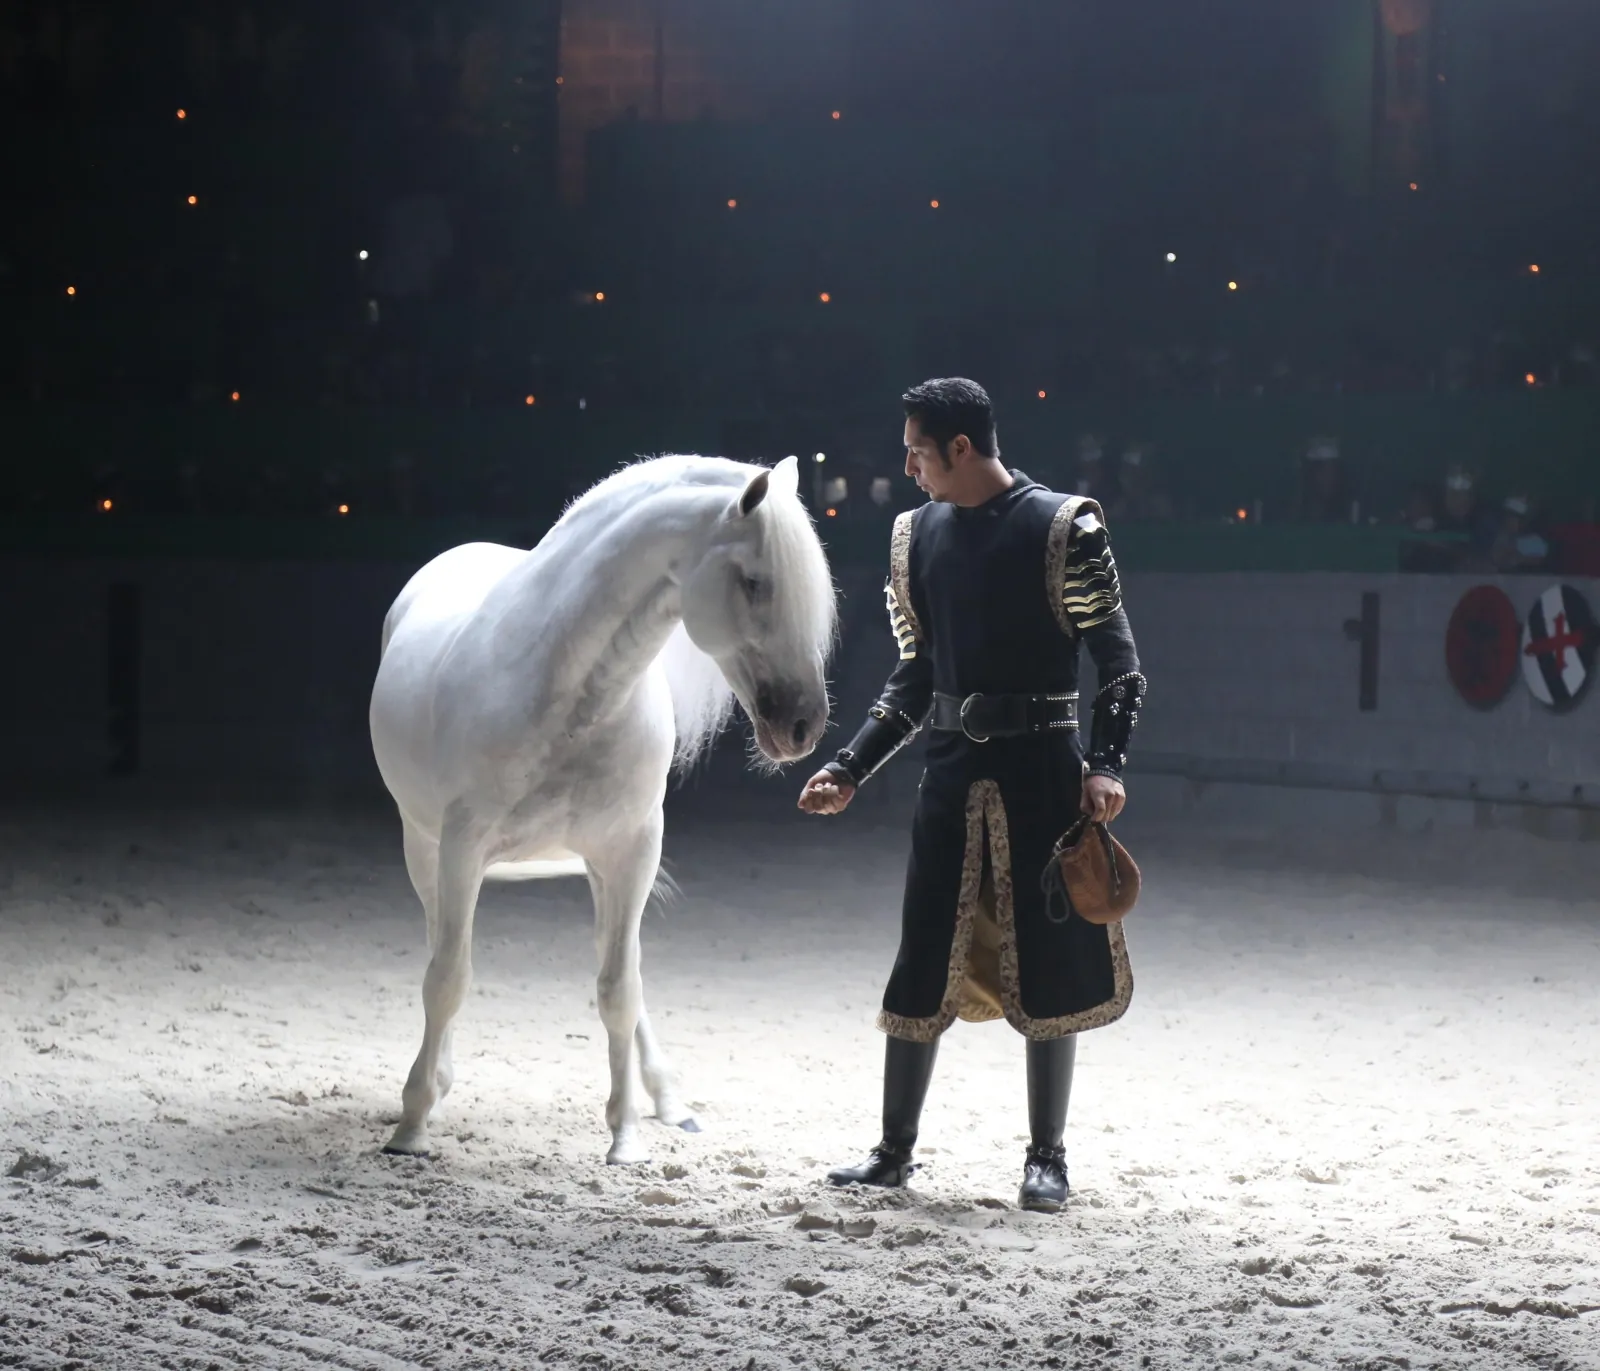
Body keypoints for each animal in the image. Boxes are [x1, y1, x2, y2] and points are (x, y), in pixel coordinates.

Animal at [368, 454, 836, 1164]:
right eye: (756, 583)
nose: (804, 726)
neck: (571, 698)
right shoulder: (462, 848)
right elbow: (447, 977)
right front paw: (413, 1124)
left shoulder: (632, 849)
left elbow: (620, 987)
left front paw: (626, 1137)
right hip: (423, 849)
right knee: (439, 948)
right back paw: (436, 1085)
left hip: (597, 868)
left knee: (617, 961)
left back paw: (670, 1101)